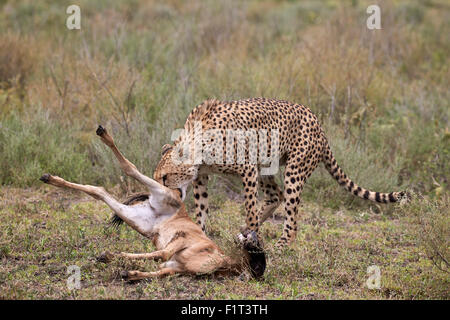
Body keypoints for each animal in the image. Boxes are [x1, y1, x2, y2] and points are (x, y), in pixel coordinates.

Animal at [153, 97, 406, 248]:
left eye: (165, 177)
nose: (159, 196)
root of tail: (318, 123)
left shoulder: (247, 168)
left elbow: (249, 207)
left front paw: (252, 238)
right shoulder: (202, 177)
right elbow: (202, 209)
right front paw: (201, 236)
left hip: (294, 170)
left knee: (291, 213)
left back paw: (281, 242)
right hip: (267, 165)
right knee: (276, 195)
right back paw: (247, 231)